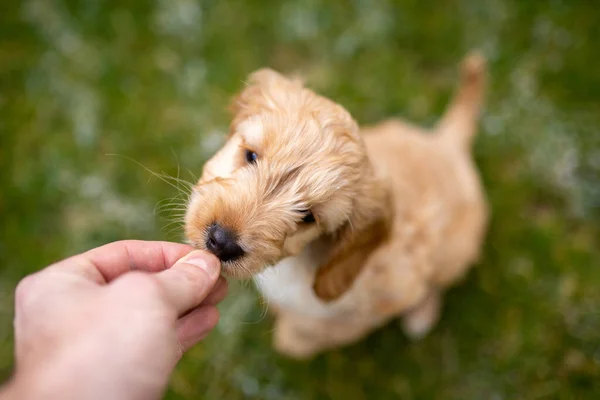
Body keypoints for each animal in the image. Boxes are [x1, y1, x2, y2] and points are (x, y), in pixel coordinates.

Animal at [185, 54, 490, 360]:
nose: (222, 242)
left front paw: (289, 340)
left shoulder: (373, 302)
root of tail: (447, 143)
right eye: (250, 156)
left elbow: (306, 334)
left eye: (307, 216)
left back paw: (421, 315)